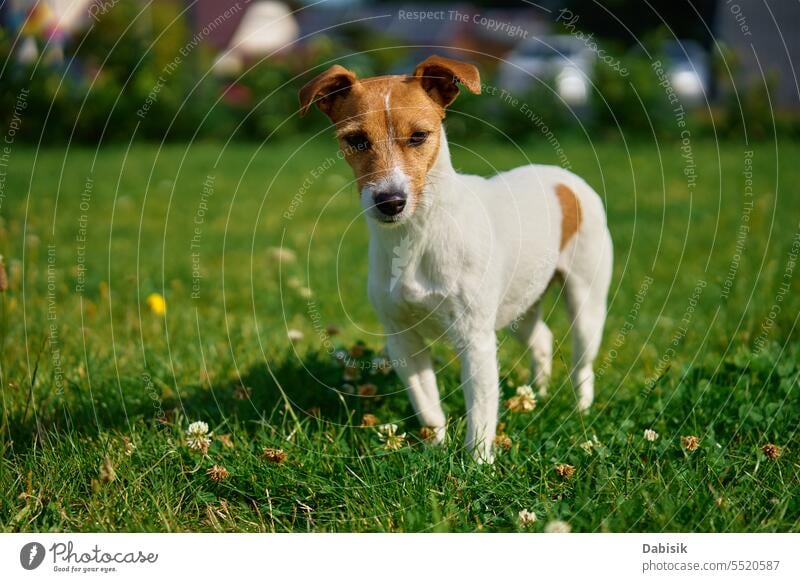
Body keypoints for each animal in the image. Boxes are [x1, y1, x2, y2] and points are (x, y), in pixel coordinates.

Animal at [300, 57, 612, 464]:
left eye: (419, 136)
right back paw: (537, 393)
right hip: (517, 305)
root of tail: (562, 177)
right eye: (356, 140)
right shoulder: (404, 341)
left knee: (582, 360)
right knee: (542, 338)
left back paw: (581, 409)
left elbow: (480, 413)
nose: (390, 202)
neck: (417, 236)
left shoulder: (475, 340)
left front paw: (477, 465)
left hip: (585, 300)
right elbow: (428, 405)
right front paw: (435, 446)